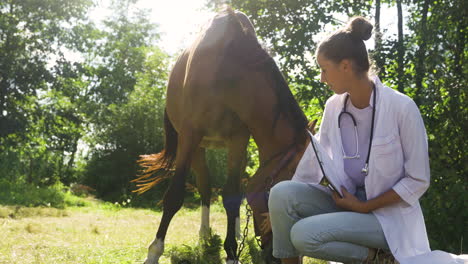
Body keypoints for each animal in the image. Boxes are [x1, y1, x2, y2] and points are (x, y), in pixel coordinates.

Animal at [135, 6, 316, 264]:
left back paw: (237, 232)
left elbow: (232, 195)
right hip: (197, 146)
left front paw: (232, 252)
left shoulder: (238, 139)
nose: (291, 257)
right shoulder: (190, 135)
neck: (227, 68)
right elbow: (174, 195)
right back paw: (204, 233)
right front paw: (154, 252)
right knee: (205, 185)